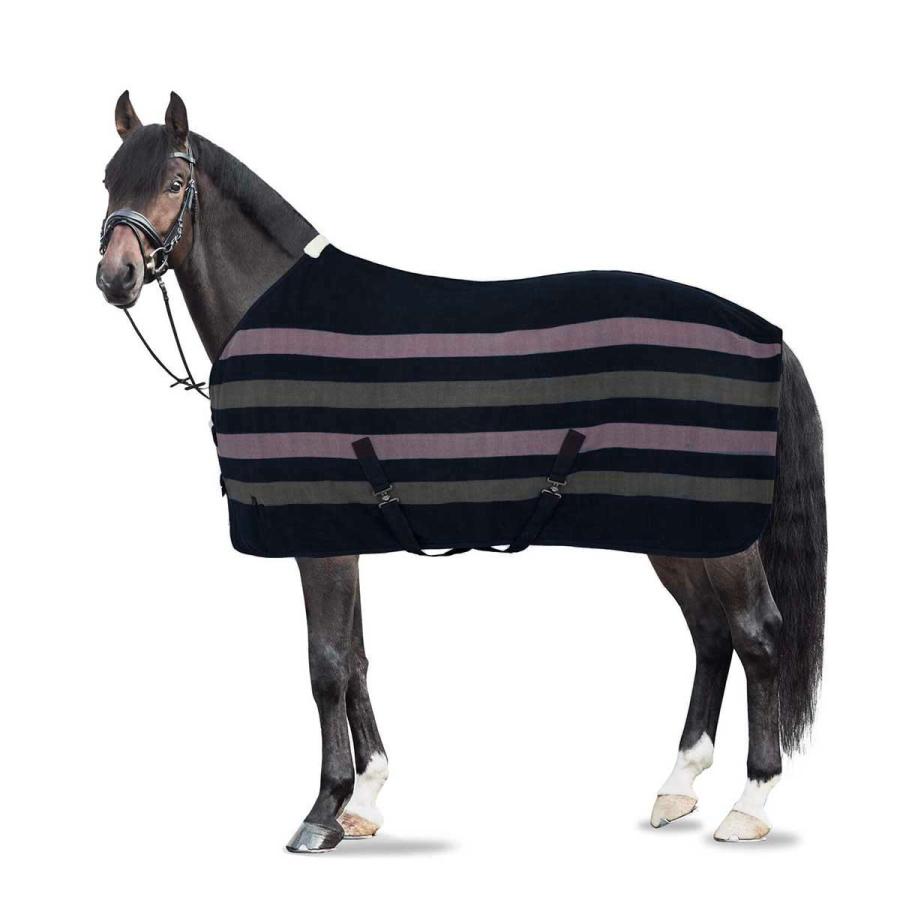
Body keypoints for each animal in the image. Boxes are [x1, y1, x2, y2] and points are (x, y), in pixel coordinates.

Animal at [95, 91, 826, 852]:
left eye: (173, 182)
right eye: (108, 180)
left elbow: (326, 664)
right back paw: (678, 787)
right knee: (711, 635)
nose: (116, 277)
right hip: (678, 532)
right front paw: (366, 799)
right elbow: (356, 658)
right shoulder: (345, 534)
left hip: (727, 539)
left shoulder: (319, 540)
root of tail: (768, 337)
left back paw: (750, 804)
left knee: (758, 635)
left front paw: (323, 810)